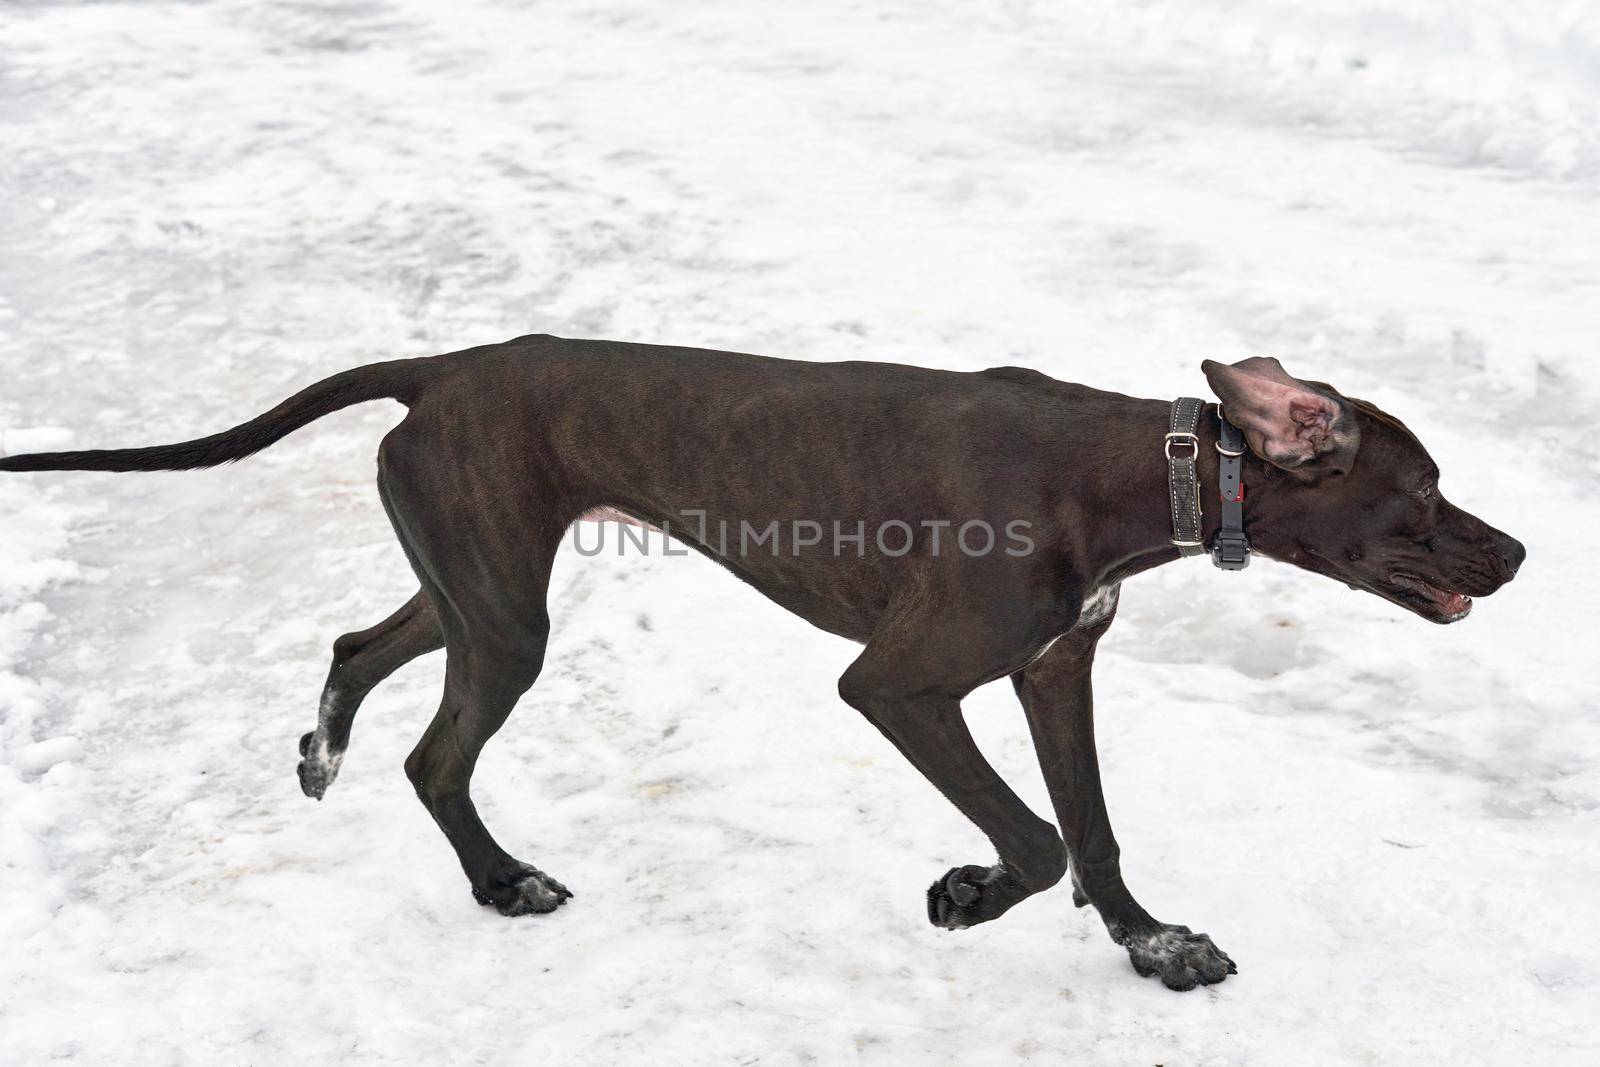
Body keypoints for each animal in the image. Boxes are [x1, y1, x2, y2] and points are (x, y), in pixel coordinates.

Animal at [0, 335, 1523, 991]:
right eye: (1425, 491)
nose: (1515, 552)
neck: (1134, 470)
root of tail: (441, 367)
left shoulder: (1054, 669)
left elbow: (1091, 830)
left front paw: (1154, 943)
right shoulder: (902, 684)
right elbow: (1034, 840)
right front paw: (966, 894)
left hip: (468, 580)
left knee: (357, 646)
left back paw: (326, 746)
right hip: (504, 612)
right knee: (437, 755)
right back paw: (504, 882)